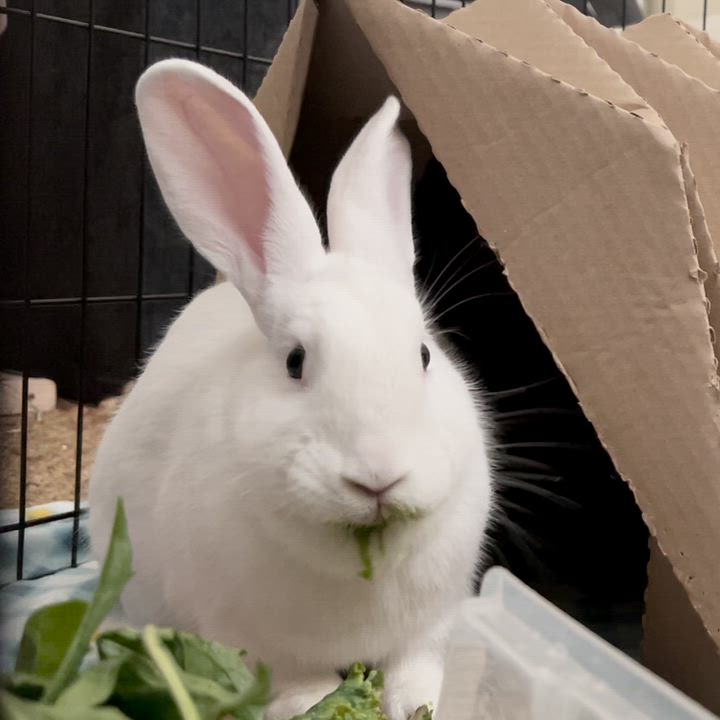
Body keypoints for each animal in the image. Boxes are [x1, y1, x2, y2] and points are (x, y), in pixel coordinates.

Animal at [88, 58, 494, 720]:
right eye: (295, 362)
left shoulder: (430, 626)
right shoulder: (266, 648)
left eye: (424, 355)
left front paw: (419, 705)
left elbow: (416, 674)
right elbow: (303, 688)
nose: (379, 478)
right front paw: (324, 704)